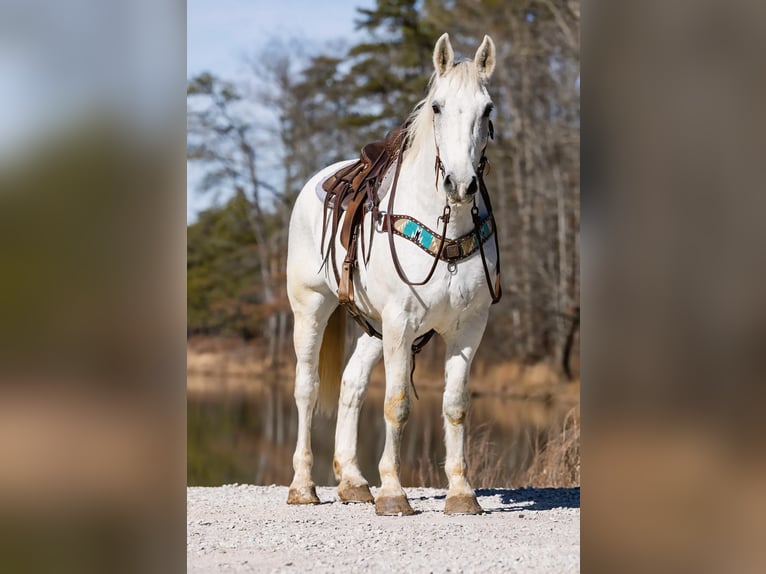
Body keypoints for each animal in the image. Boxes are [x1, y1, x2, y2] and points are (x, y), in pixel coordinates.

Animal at [286, 33, 498, 516]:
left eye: (488, 109)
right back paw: (304, 486)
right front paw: (394, 493)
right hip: (311, 309)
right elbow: (397, 403)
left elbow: (455, 405)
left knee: (351, 384)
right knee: (307, 388)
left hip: (373, 327)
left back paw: (352, 481)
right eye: (437, 106)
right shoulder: (402, 322)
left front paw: (462, 493)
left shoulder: (468, 327)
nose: (461, 185)